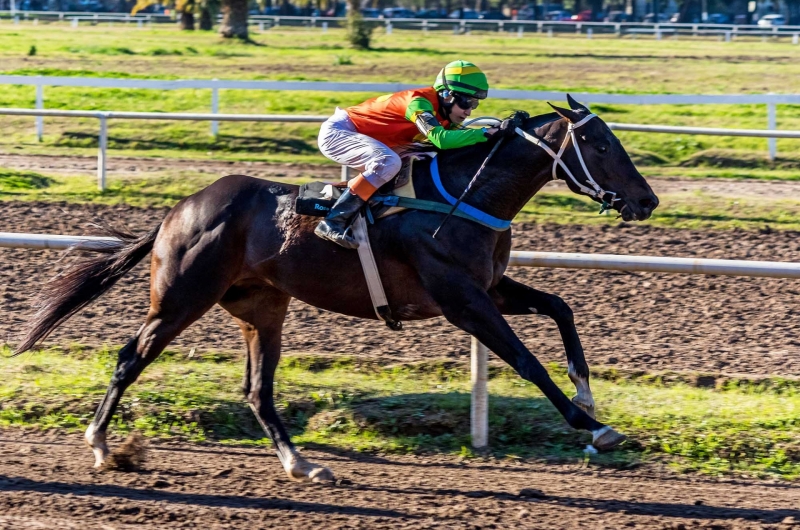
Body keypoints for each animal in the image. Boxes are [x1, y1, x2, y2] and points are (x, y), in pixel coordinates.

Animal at [17, 94, 656, 478]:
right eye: (601, 145)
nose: (647, 200)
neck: (464, 196)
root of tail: (179, 209)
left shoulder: (489, 289)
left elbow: (561, 307)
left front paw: (587, 394)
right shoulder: (463, 301)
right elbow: (526, 361)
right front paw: (595, 428)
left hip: (263, 307)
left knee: (257, 390)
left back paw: (300, 464)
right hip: (180, 298)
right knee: (130, 357)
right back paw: (101, 444)